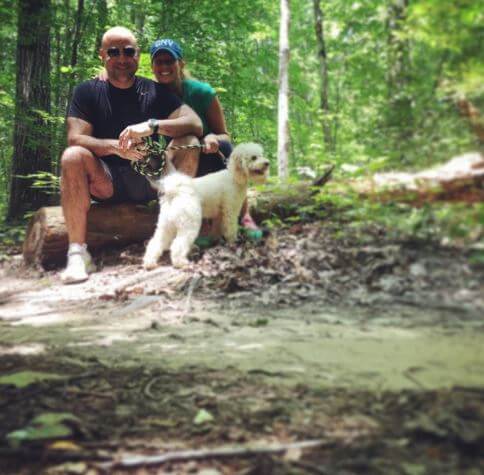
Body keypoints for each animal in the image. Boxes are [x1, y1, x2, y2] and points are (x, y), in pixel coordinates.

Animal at [144, 141, 272, 270]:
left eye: (261, 155)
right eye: (254, 157)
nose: (267, 163)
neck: (234, 176)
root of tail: (175, 191)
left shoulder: (219, 214)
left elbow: (216, 229)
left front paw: (216, 241)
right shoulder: (230, 211)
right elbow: (230, 229)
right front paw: (233, 243)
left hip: (166, 225)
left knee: (155, 243)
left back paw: (149, 263)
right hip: (189, 224)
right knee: (177, 245)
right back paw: (181, 262)